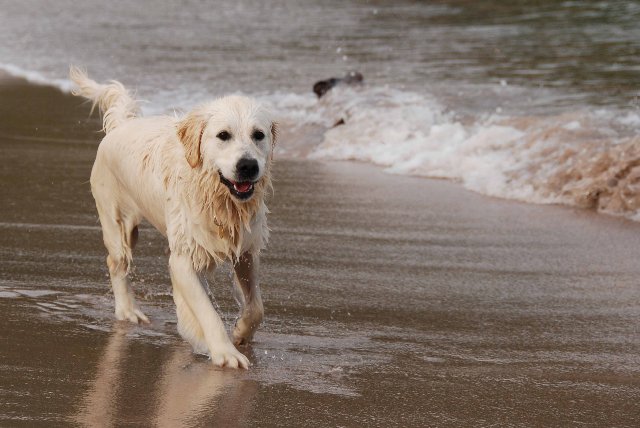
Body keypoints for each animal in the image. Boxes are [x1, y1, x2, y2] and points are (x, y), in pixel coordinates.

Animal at [70, 67, 276, 368]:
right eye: (223, 135)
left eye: (258, 135)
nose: (248, 166)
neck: (218, 198)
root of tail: (121, 124)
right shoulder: (184, 258)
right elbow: (207, 311)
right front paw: (225, 352)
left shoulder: (246, 249)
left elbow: (256, 306)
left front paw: (240, 332)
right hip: (116, 218)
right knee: (116, 262)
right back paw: (128, 311)